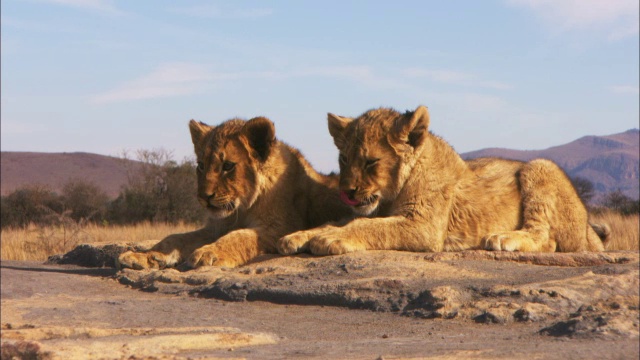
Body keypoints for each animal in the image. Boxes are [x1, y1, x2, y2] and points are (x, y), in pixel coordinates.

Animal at [117, 116, 352, 268]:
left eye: (228, 166)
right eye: (201, 165)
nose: (204, 197)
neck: (243, 207)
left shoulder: (280, 227)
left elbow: (240, 236)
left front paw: (209, 252)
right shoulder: (215, 227)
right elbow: (174, 238)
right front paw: (145, 256)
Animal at [278, 105, 604, 255]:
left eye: (371, 162)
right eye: (344, 159)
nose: (346, 192)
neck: (390, 194)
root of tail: (589, 229)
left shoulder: (423, 226)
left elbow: (369, 226)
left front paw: (330, 239)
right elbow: (341, 221)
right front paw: (297, 236)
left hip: (540, 167)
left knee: (546, 238)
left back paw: (502, 238)